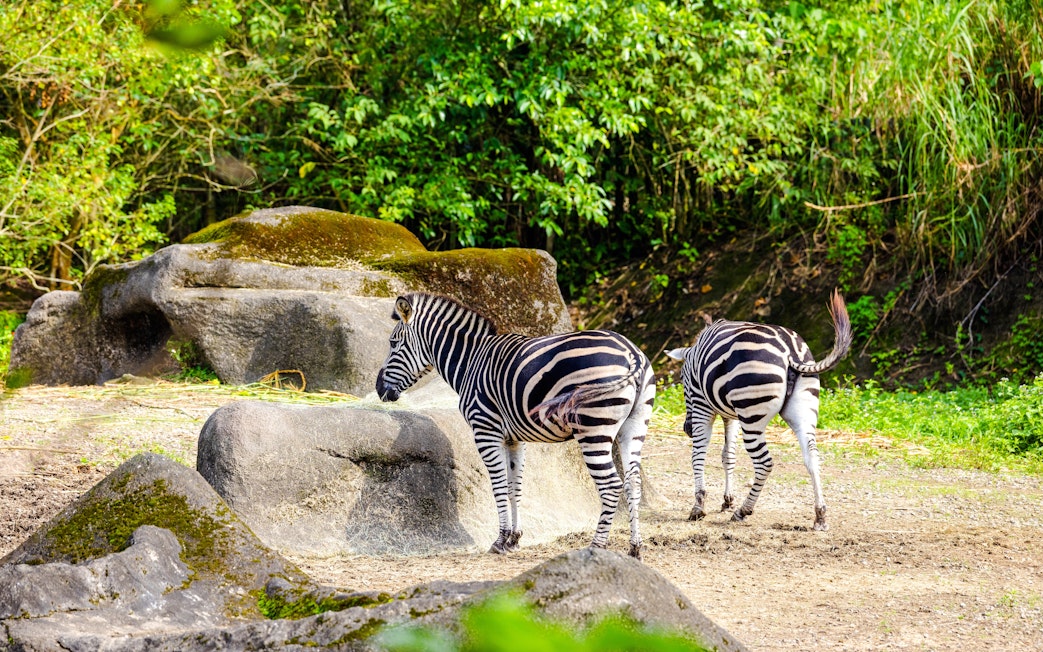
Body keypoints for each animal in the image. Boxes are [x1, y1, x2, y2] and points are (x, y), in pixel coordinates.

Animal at [375, 292, 655, 559]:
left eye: (393, 343)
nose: (378, 389)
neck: (470, 361)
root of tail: (632, 354)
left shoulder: (485, 430)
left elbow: (498, 486)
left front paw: (500, 541)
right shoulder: (514, 439)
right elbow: (515, 488)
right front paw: (514, 539)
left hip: (593, 428)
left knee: (611, 486)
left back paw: (596, 546)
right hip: (634, 427)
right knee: (633, 483)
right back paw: (635, 548)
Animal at [665, 290, 852, 531]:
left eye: (680, 378)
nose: (686, 429)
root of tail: (790, 351)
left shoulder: (701, 406)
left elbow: (698, 454)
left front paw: (699, 506)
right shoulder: (732, 415)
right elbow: (728, 455)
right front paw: (727, 500)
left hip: (751, 416)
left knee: (764, 463)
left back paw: (743, 511)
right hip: (802, 409)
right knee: (812, 456)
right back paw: (820, 516)